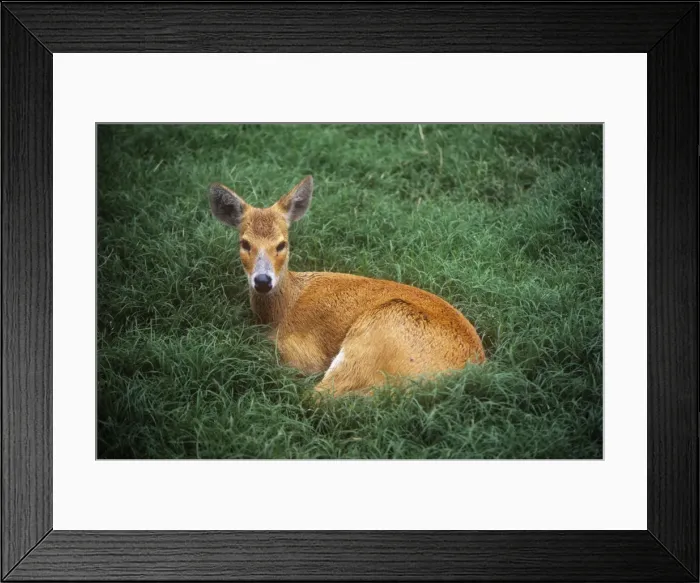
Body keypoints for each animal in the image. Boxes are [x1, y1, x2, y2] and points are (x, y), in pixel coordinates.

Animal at [209, 175, 485, 396]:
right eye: (244, 243)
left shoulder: (302, 353)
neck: (280, 312)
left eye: (282, 244)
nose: (263, 281)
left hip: (379, 329)